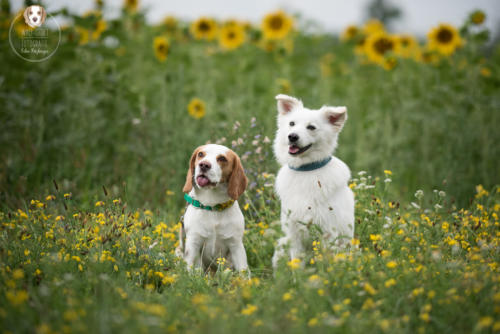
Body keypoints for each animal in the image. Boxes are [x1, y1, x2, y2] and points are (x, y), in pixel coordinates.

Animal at [179, 144, 250, 272]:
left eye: (222, 158)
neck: (212, 206)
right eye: (200, 154)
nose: (204, 165)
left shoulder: (236, 245)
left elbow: (243, 271)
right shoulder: (193, 244)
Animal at [270, 94, 356, 268]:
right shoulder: (293, 232)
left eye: (311, 127)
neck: (306, 171)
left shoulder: (328, 232)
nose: (292, 136)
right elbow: (297, 262)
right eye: (291, 124)